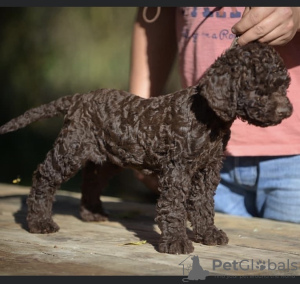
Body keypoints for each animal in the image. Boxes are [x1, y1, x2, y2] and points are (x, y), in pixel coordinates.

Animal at [0, 42, 290, 255]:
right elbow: (174, 206)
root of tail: (79, 98)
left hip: (107, 158)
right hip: (71, 149)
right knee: (44, 177)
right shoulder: (178, 170)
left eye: (284, 85)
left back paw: (92, 214)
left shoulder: (207, 170)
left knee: (91, 181)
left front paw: (208, 233)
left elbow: (203, 204)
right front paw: (176, 242)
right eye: (259, 89)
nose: (287, 111)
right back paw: (39, 222)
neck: (206, 116)